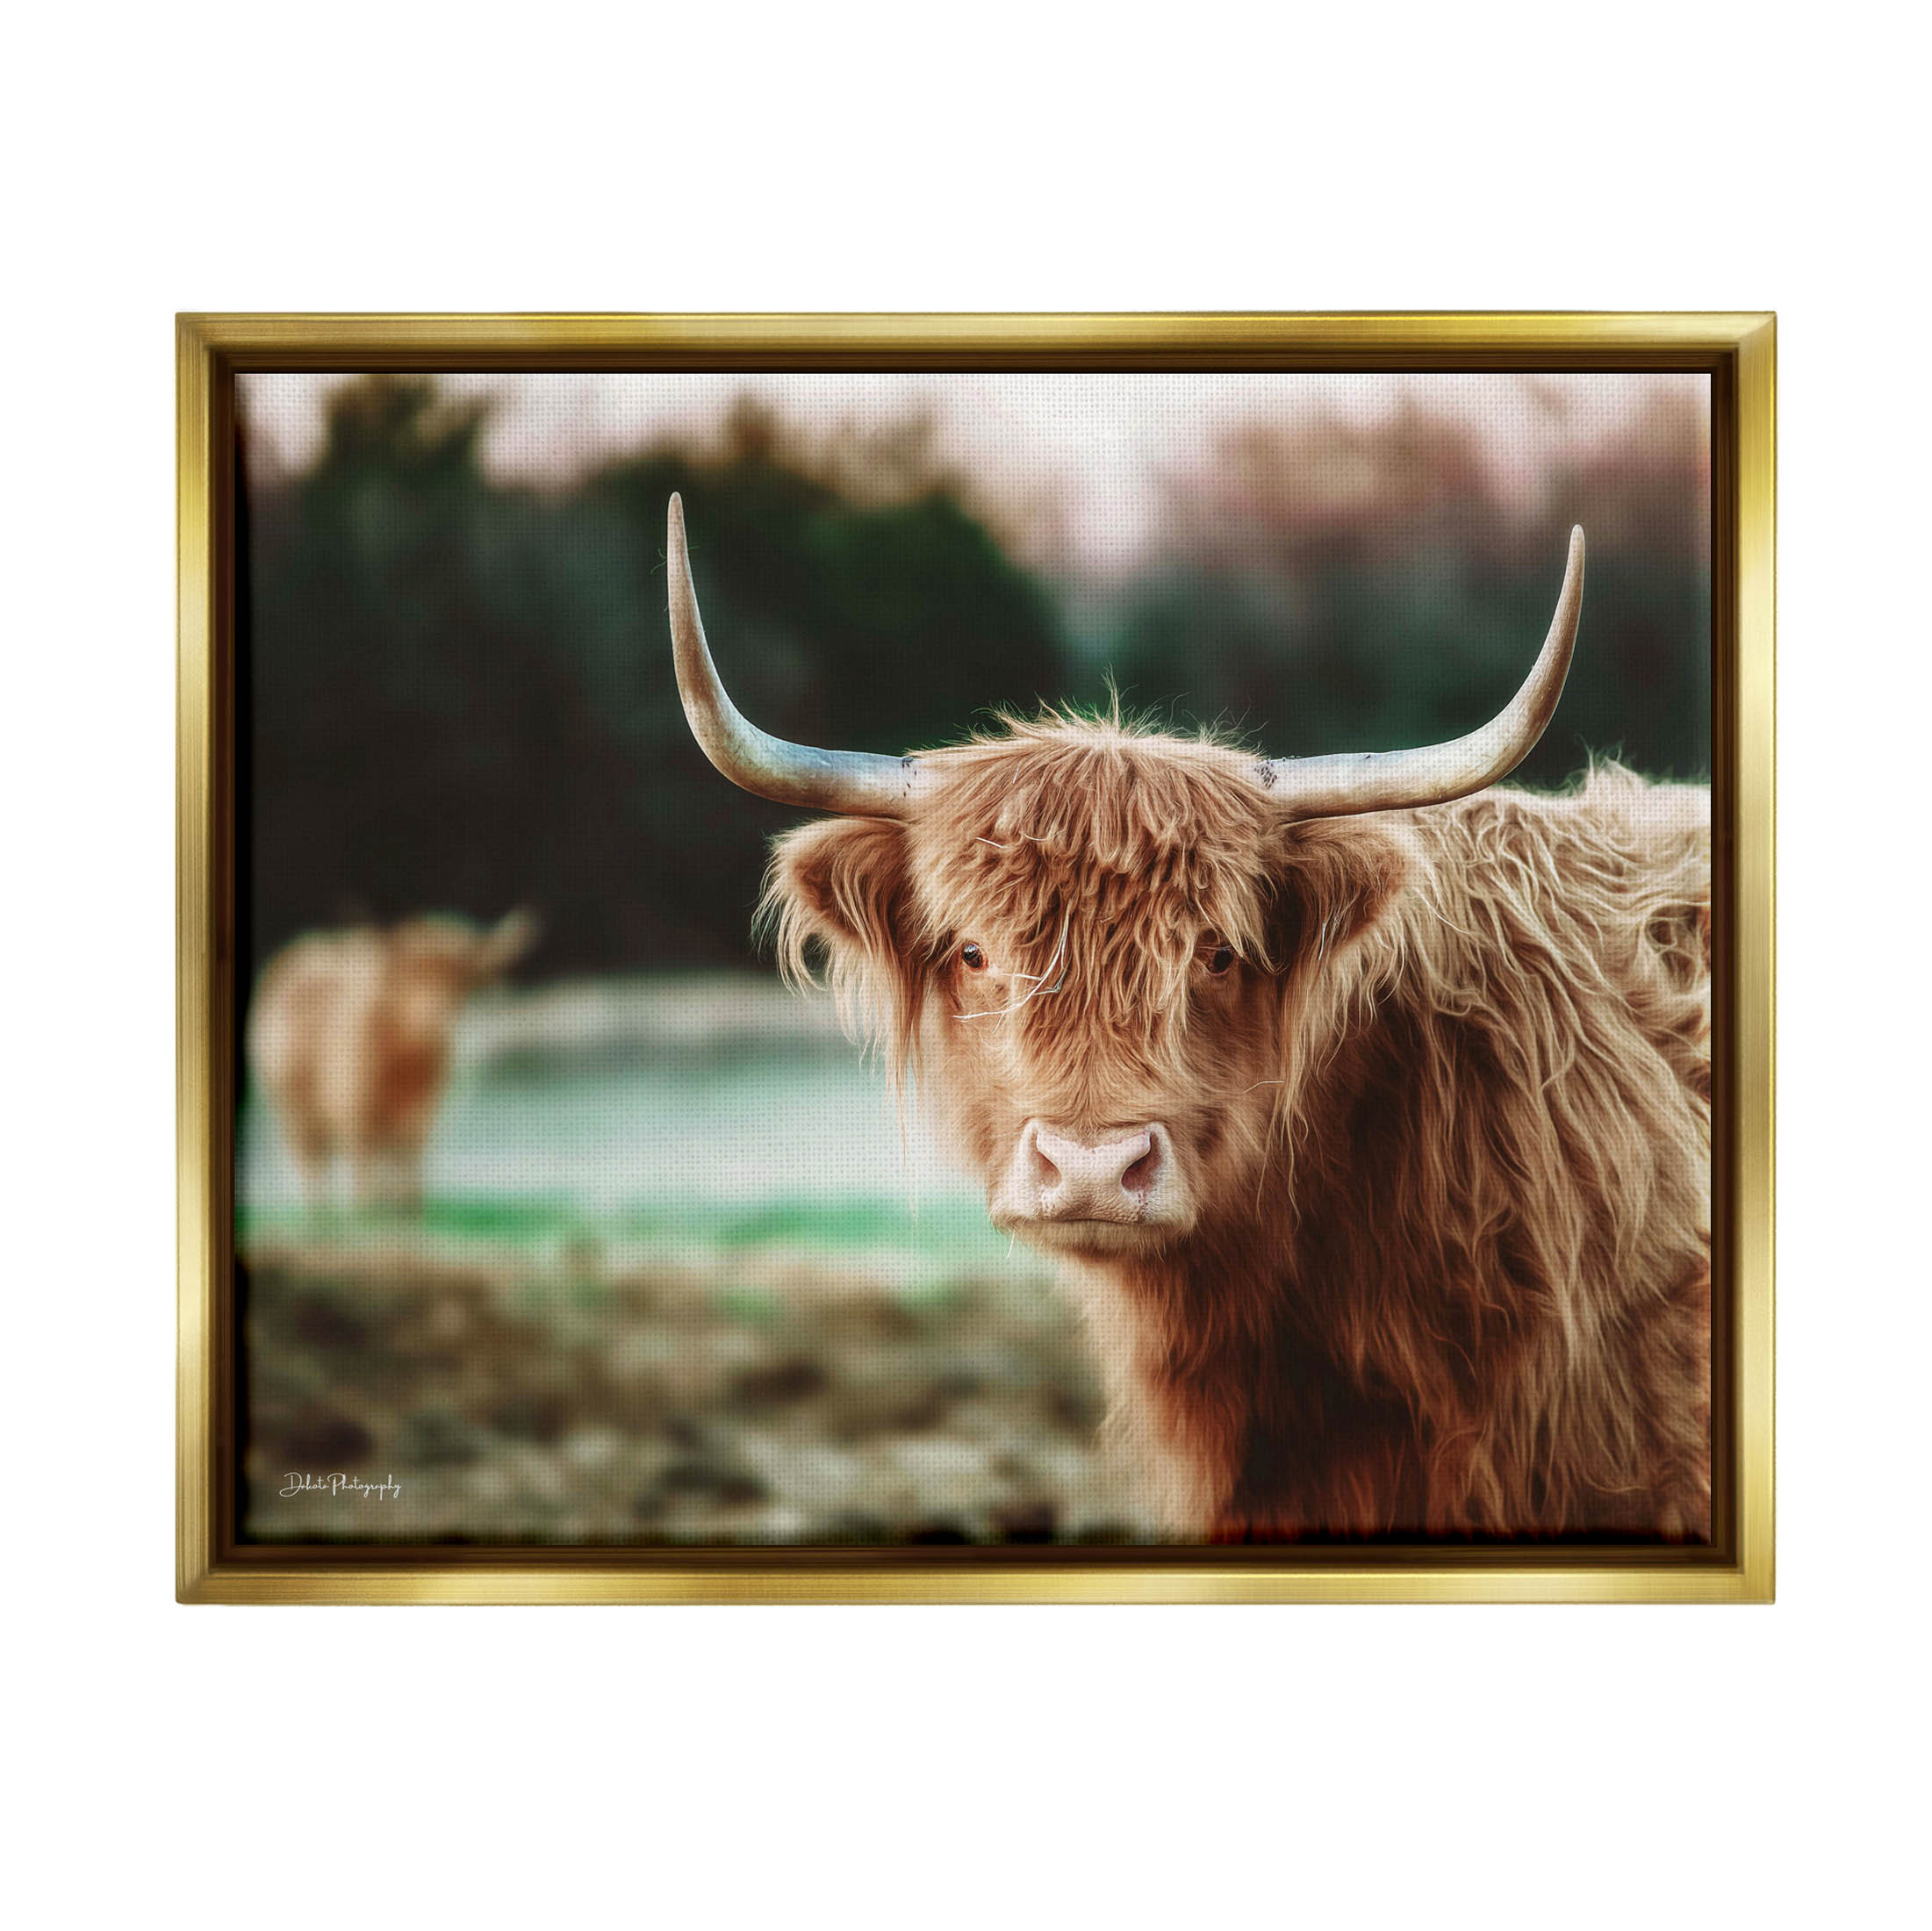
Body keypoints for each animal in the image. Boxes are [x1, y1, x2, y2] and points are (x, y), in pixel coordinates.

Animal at [247, 910, 538, 1209]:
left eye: (459, 980)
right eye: (409, 978)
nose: (432, 1019)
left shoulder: (417, 1123)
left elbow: (408, 1184)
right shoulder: (356, 1119)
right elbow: (365, 1186)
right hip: (294, 1113)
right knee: (314, 1170)